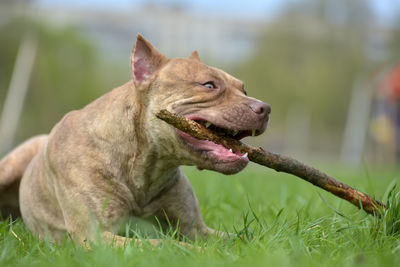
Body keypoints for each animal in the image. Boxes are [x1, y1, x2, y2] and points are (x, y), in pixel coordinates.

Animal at [0, 34, 270, 247]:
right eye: (209, 85)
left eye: (244, 90)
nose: (265, 108)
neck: (145, 166)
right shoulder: (96, 236)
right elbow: (165, 245)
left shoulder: (196, 229)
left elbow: (240, 237)